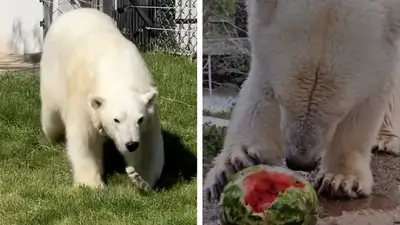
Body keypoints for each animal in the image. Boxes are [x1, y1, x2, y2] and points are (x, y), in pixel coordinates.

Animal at [39, 7, 165, 190]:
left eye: (140, 119)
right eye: (116, 120)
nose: (131, 144)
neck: (117, 71)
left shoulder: (147, 105)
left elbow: (148, 144)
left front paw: (142, 178)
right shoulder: (84, 99)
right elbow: (85, 140)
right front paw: (91, 184)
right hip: (52, 74)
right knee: (52, 116)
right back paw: (55, 138)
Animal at [205, 0, 400, 200]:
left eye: (340, 113)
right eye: (283, 101)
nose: (300, 162)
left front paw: (341, 178)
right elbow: (262, 80)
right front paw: (235, 162)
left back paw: (385, 139)